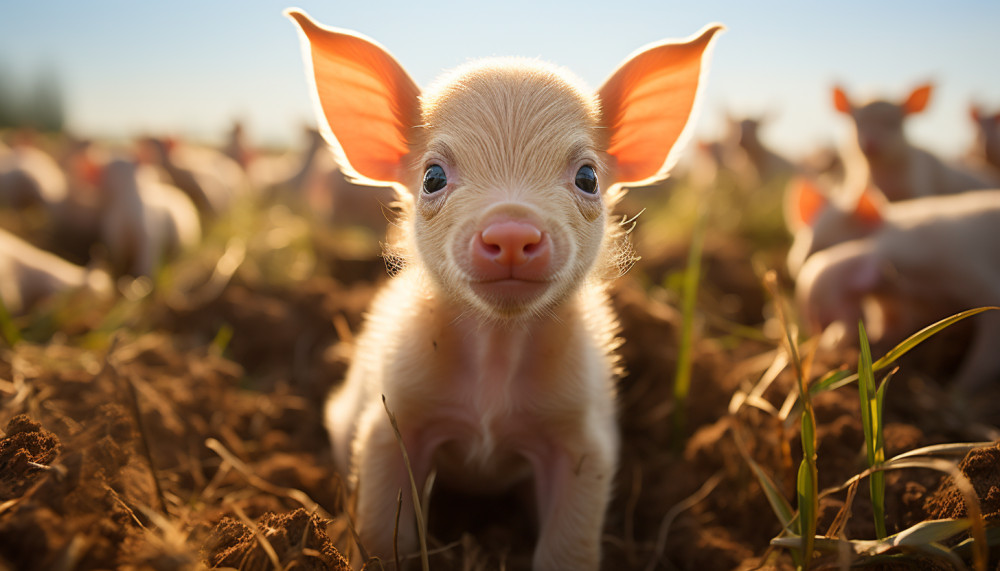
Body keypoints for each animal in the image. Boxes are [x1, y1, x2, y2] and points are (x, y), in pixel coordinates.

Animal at [287, 9, 721, 569]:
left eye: (587, 177)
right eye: (432, 177)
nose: (512, 227)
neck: (495, 362)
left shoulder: (583, 438)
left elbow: (568, 544)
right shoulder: (392, 419)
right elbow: (386, 529)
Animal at [794, 189, 1000, 391]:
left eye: (823, 315)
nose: (816, 337)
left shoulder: (978, 278)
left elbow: (985, 352)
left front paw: (954, 390)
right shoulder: (891, 303)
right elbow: (895, 327)